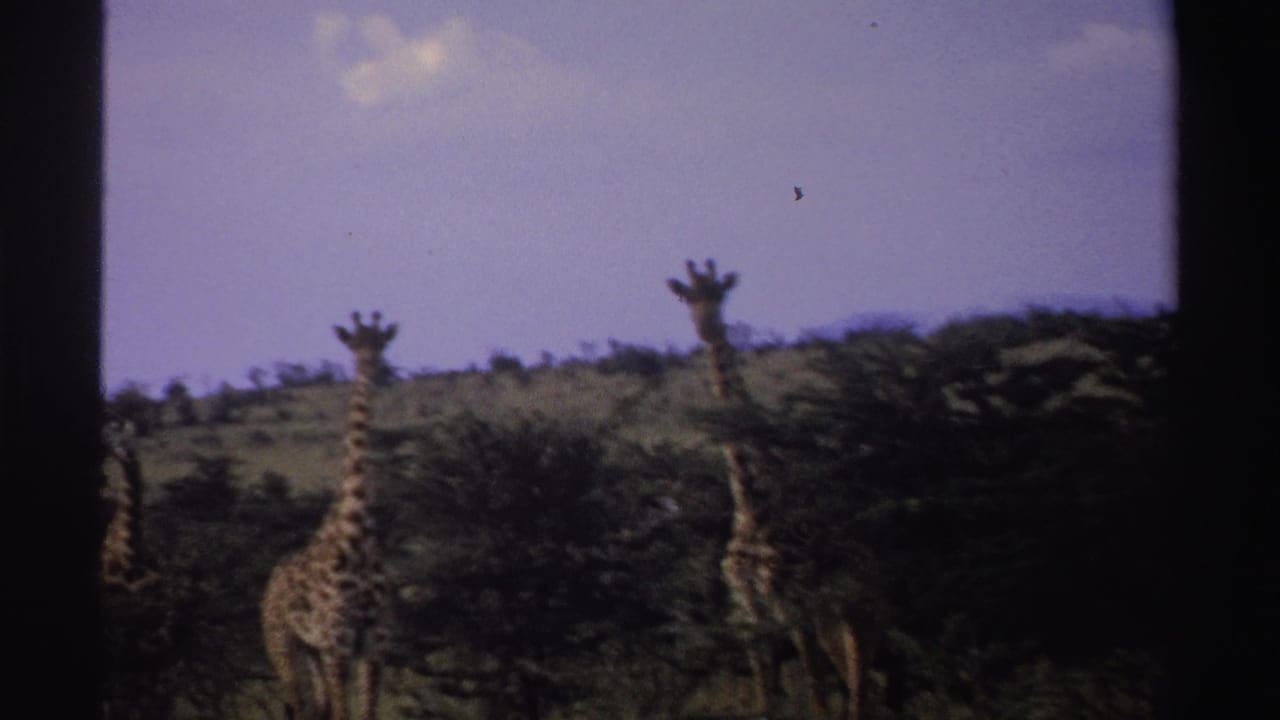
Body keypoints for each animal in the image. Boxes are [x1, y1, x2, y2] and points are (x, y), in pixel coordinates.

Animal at [262, 311, 397, 720]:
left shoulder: (374, 644)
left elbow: (366, 713)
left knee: (315, 707)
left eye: (382, 343)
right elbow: (343, 713)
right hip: (281, 642)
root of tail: (270, 581)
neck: (356, 536)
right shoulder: (337, 642)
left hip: (312, 650)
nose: (372, 368)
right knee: (297, 703)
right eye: (353, 345)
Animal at [668, 259, 863, 720]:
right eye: (687, 297)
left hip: (852, 594)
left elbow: (814, 690)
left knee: (861, 664)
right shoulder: (752, 613)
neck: (752, 500)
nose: (707, 329)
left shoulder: (789, 603)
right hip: (829, 604)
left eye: (721, 294)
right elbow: (766, 696)